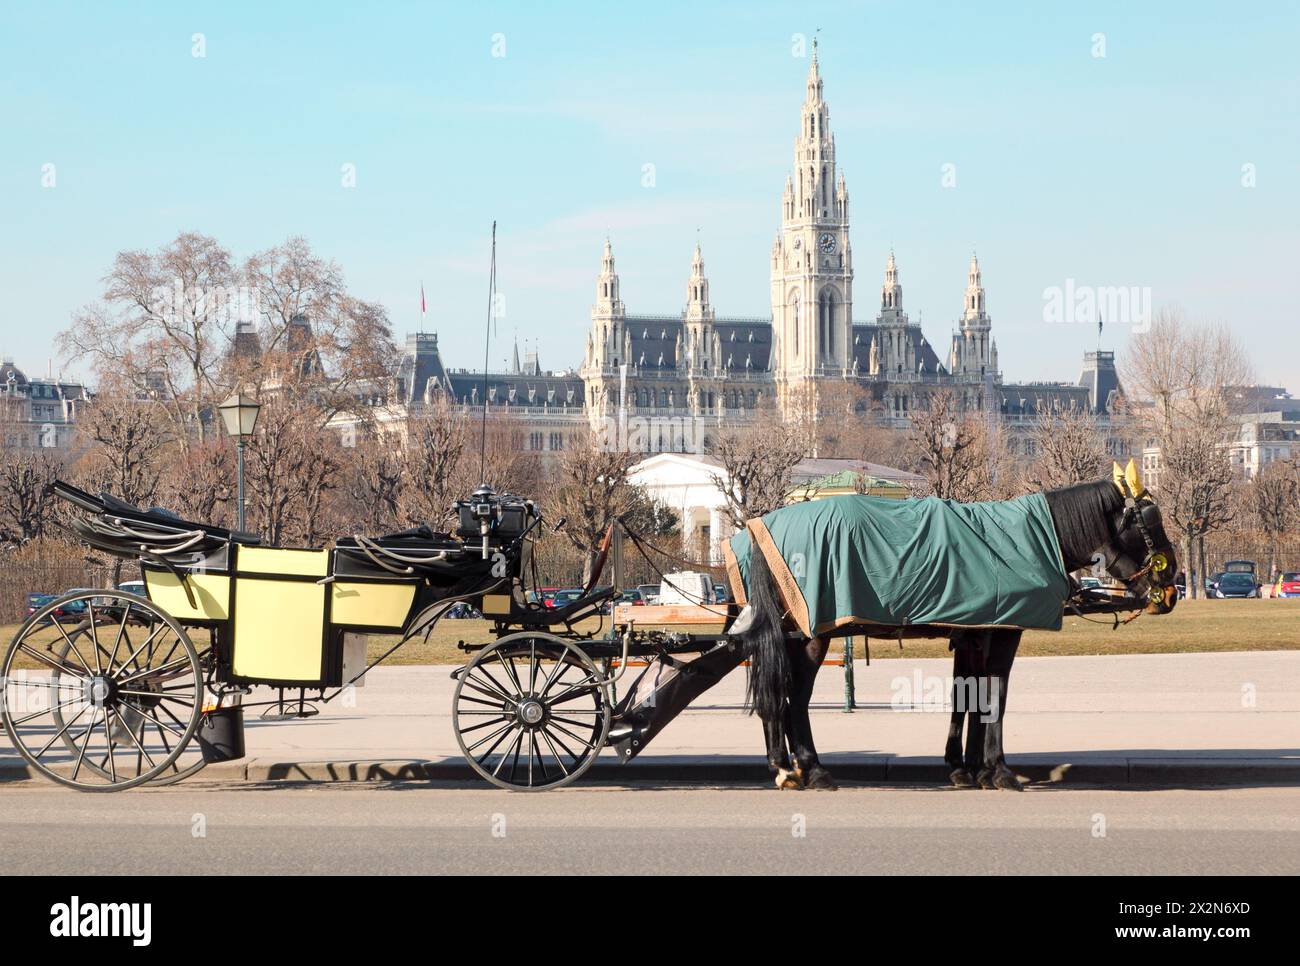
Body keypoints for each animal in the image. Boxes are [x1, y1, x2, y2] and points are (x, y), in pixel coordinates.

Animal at [733, 462, 1180, 795]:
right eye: (1150, 522)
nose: (1172, 582)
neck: (1031, 540)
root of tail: (762, 526)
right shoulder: (1003, 632)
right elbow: (994, 696)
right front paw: (998, 770)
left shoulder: (974, 634)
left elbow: (968, 697)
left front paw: (968, 767)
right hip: (812, 637)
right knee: (794, 698)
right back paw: (809, 769)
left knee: (780, 695)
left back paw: (787, 766)